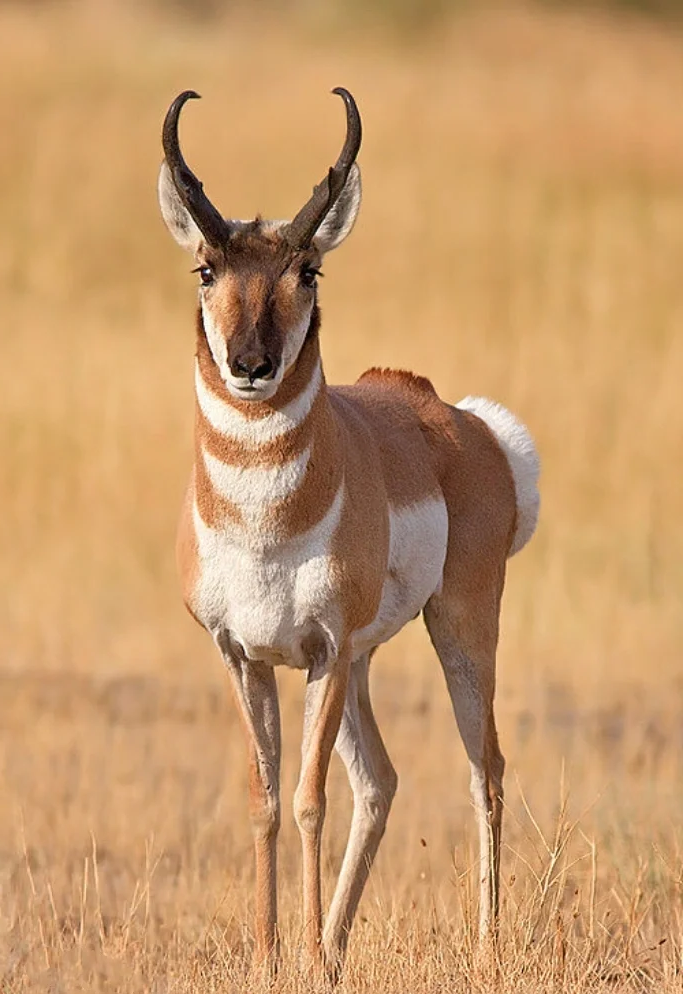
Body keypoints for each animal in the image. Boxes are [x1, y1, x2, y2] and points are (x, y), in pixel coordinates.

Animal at [159, 87, 540, 976]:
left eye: (308, 270)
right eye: (206, 269)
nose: (250, 364)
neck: (264, 525)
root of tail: (460, 419)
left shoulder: (321, 653)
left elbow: (307, 801)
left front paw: (294, 955)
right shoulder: (245, 656)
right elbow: (265, 801)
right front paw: (270, 958)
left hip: (458, 630)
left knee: (484, 769)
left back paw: (481, 950)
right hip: (365, 663)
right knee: (382, 781)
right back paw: (334, 948)